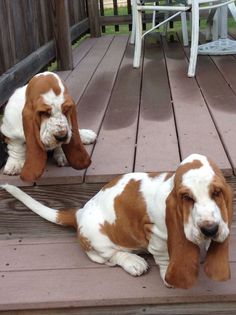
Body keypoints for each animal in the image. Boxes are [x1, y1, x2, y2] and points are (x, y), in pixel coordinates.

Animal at [0, 154, 233, 290]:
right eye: (187, 198)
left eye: (217, 192)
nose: (210, 229)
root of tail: (79, 213)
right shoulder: (156, 235)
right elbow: (165, 257)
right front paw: (168, 277)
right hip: (99, 242)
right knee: (108, 258)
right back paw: (134, 262)